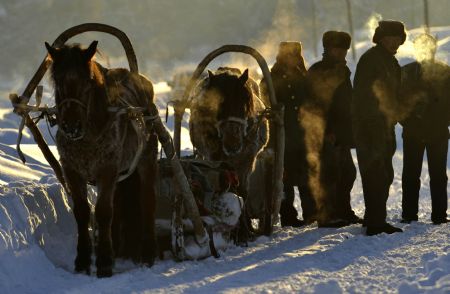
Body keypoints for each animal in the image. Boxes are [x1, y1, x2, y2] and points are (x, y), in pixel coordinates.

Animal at [45, 41, 158, 278]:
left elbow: (104, 212)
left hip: (146, 159)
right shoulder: (72, 170)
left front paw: (105, 263)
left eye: (87, 81)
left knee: (147, 201)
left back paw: (148, 253)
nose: (71, 126)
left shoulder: (107, 168)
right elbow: (82, 212)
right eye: (58, 81)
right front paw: (83, 260)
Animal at [189, 69, 268, 241]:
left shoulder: (247, 160)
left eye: (245, 102)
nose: (232, 143)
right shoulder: (215, 158)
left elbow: (243, 191)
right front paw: (238, 233)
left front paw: (246, 231)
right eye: (217, 105)